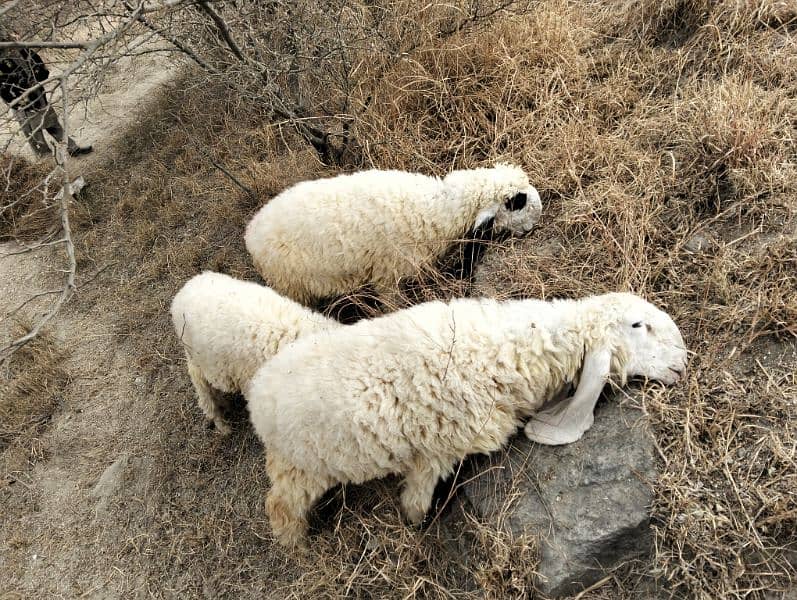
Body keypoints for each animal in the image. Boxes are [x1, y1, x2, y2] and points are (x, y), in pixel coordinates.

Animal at [243, 163, 540, 308]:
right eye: (517, 201)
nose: (536, 222)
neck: (437, 209)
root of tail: (251, 233)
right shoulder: (388, 276)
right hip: (291, 285)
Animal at [247, 292, 684, 548]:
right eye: (637, 325)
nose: (683, 361)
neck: (514, 351)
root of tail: (258, 394)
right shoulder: (437, 451)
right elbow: (416, 499)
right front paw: (416, 525)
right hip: (303, 467)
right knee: (279, 507)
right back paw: (296, 544)